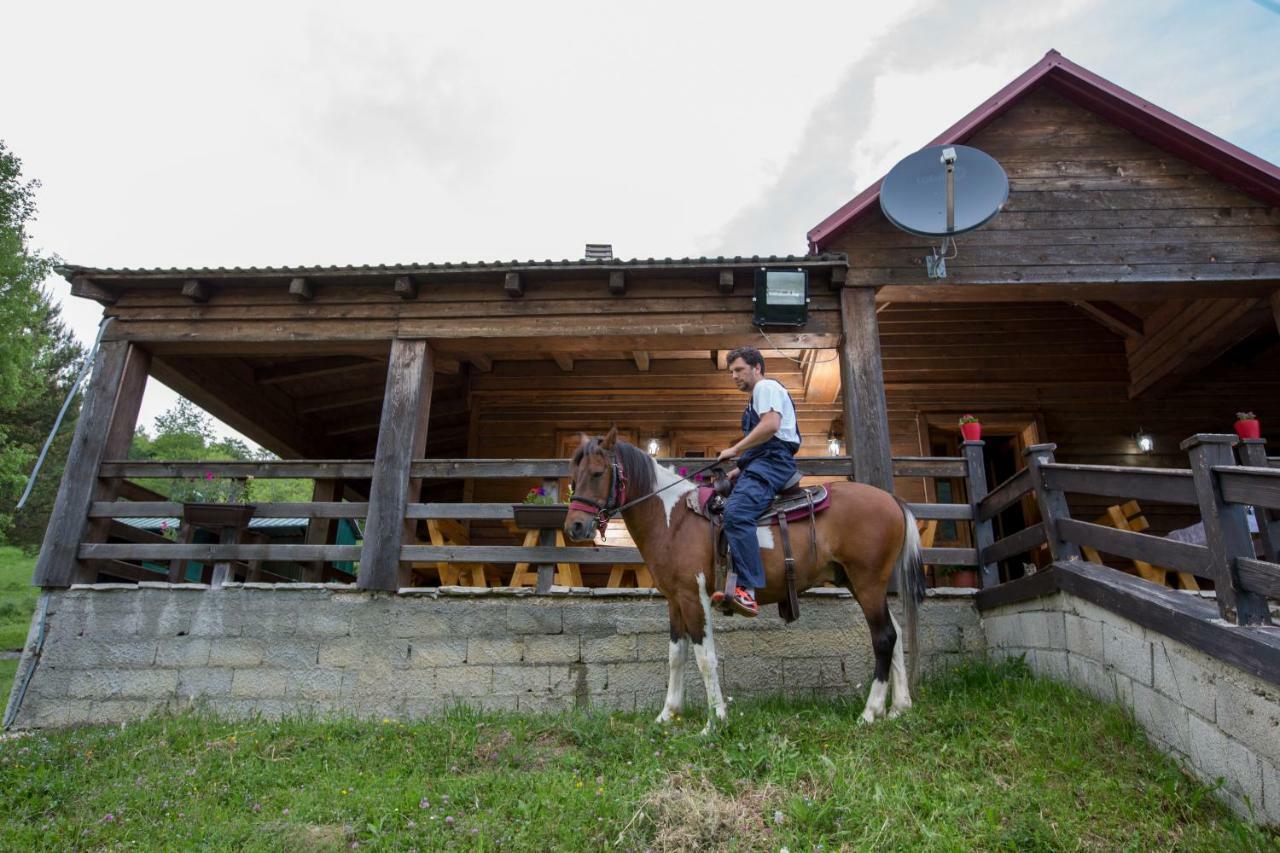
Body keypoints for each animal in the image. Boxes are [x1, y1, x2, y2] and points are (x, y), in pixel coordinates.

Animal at [565, 425, 926, 732]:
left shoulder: (693, 596)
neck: (674, 519)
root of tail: (892, 500)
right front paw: (667, 715)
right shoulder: (674, 600)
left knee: (884, 638)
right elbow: (676, 656)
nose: (575, 527)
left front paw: (715, 721)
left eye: (597, 473)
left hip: (867, 582)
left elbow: (705, 657)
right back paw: (899, 707)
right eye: (574, 476)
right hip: (860, 583)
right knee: (894, 633)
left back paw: (870, 712)